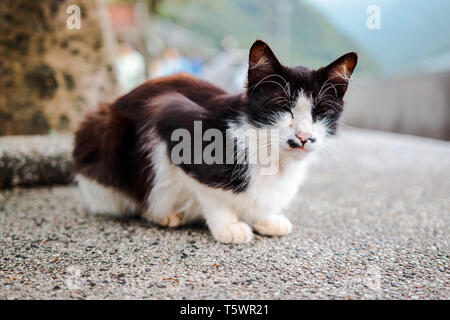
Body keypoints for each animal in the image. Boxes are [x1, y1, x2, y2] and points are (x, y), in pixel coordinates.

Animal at [72, 41, 356, 244]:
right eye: (283, 107)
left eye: (320, 111)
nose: (304, 136)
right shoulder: (172, 115)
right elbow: (209, 193)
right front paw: (228, 225)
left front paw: (264, 218)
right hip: (105, 129)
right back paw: (162, 213)